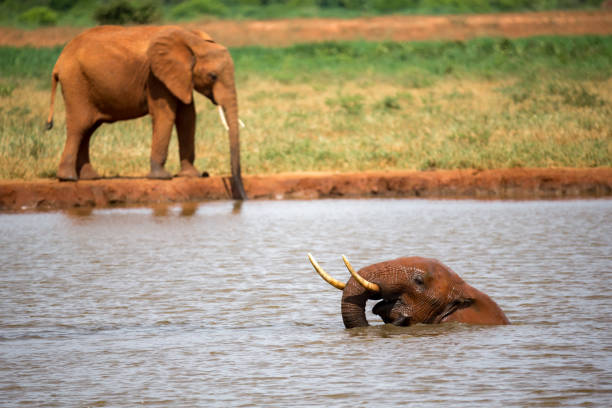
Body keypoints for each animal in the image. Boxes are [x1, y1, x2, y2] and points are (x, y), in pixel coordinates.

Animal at [46, 23, 246, 199]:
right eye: (212, 76)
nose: (242, 197)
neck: (192, 40)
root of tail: (58, 61)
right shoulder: (156, 76)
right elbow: (166, 114)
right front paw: (163, 177)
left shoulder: (180, 77)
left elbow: (188, 117)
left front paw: (191, 175)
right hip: (76, 83)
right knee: (80, 126)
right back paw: (68, 178)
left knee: (88, 129)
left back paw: (90, 177)